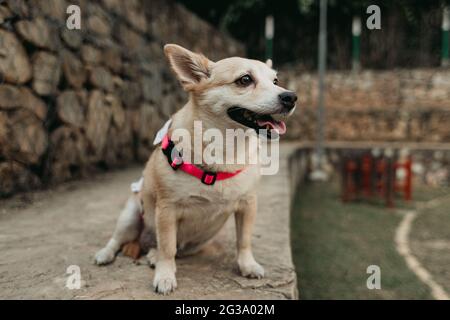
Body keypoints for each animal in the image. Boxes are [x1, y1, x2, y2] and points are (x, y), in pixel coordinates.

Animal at [94, 43, 298, 294]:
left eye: (276, 81)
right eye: (245, 80)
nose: (291, 97)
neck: (225, 147)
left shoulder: (248, 205)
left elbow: (244, 240)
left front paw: (247, 265)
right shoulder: (167, 210)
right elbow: (167, 247)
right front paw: (165, 275)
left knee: (163, 247)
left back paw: (151, 254)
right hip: (131, 215)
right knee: (122, 240)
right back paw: (108, 254)